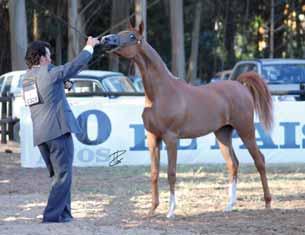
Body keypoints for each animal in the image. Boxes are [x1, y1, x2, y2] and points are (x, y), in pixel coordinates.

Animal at [101, 22, 272, 218]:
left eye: (131, 36)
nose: (105, 39)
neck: (161, 93)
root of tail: (240, 85)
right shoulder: (153, 138)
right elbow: (154, 173)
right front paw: (152, 209)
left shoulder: (171, 138)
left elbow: (171, 173)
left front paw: (170, 211)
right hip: (223, 134)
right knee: (233, 164)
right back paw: (229, 205)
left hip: (246, 130)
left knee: (259, 160)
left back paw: (267, 203)